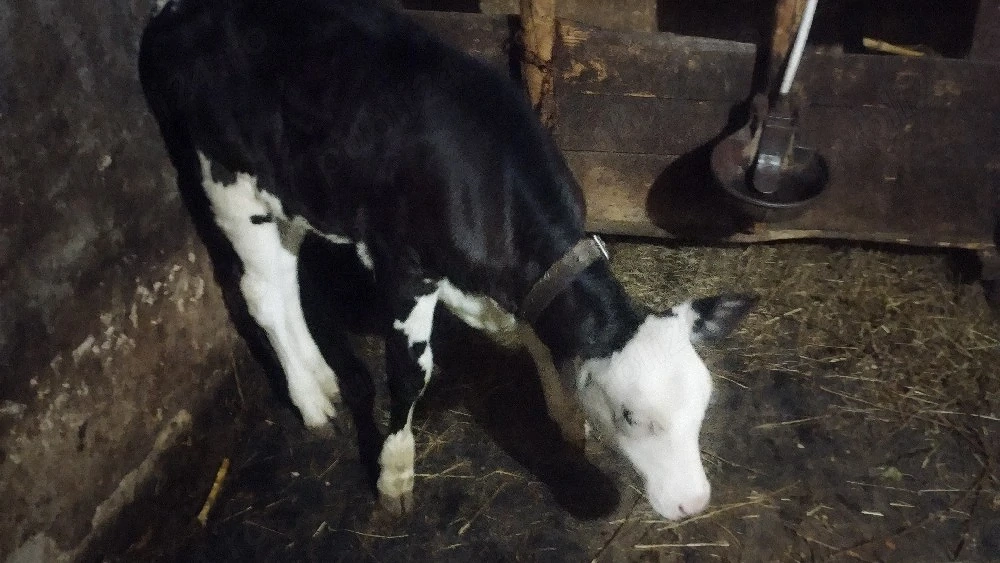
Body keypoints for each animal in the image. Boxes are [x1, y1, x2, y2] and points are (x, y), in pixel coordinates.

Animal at [138, 0, 755, 520]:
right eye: (631, 417)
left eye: (704, 403)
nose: (694, 503)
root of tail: (179, 12)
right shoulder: (405, 268)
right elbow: (411, 374)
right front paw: (393, 474)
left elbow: (539, 336)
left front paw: (565, 418)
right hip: (229, 182)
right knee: (261, 294)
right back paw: (309, 400)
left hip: (292, 191)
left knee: (287, 282)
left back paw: (324, 378)